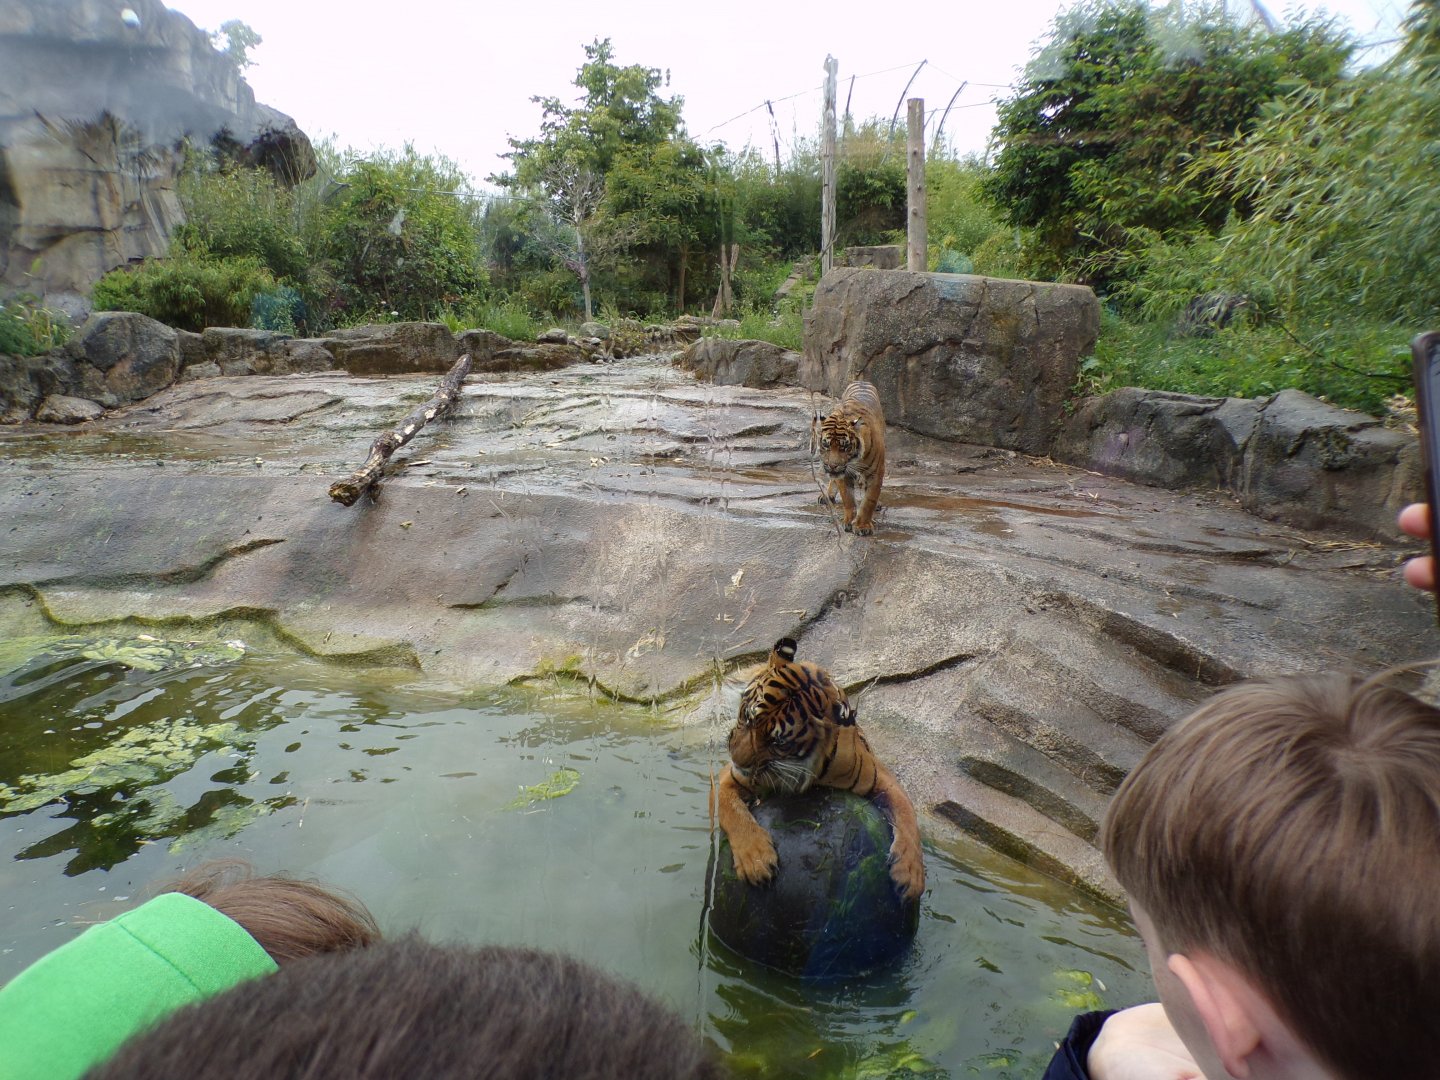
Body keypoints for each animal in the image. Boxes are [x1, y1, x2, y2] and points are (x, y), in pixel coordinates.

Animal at [712, 637, 926, 901]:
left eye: (777, 742)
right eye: (748, 717)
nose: (737, 760)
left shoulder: (880, 777)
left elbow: (907, 814)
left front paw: (911, 875)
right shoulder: (729, 778)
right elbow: (732, 811)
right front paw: (756, 860)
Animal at [813, 379, 886, 536]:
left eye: (844, 447)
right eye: (826, 445)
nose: (833, 466)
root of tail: (862, 381)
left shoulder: (876, 473)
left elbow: (869, 500)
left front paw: (863, 526)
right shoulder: (843, 474)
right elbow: (848, 498)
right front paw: (848, 522)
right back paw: (828, 496)